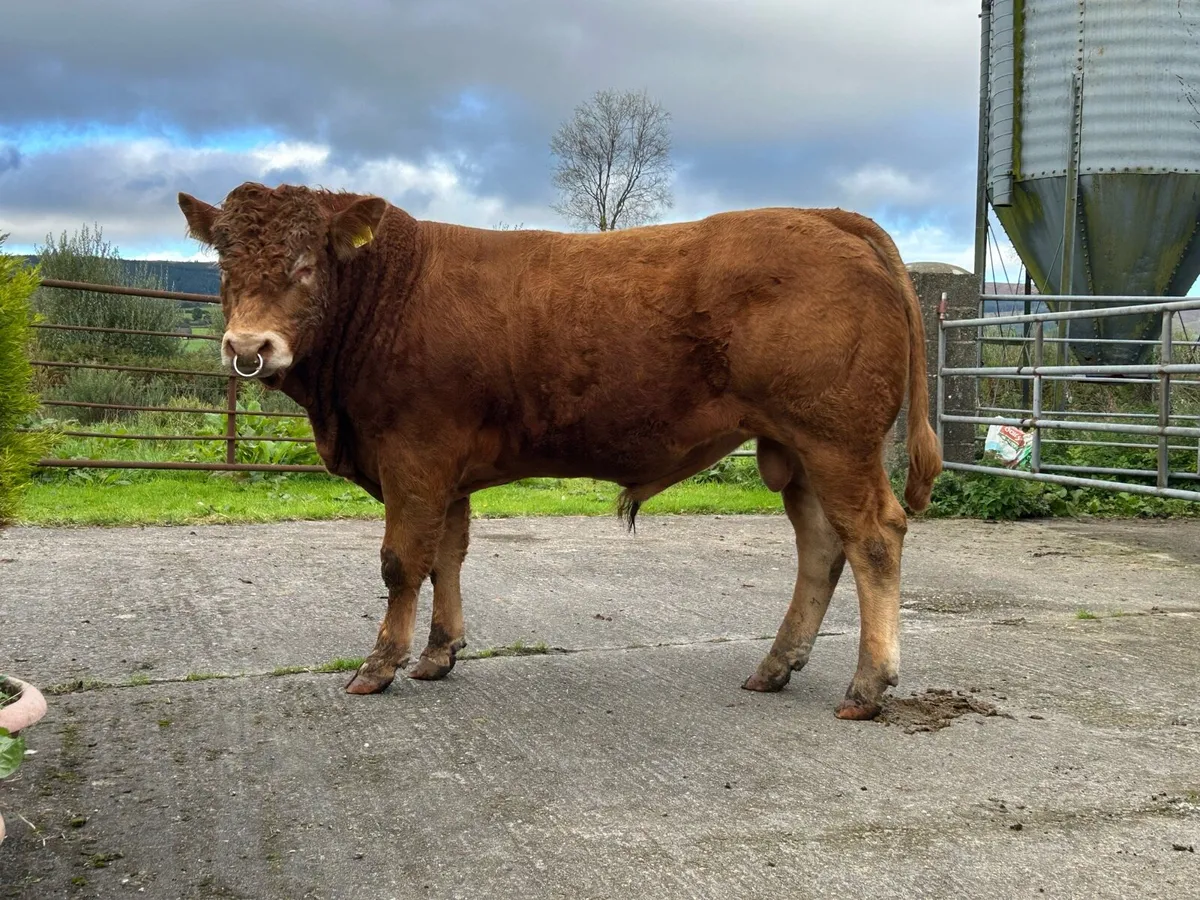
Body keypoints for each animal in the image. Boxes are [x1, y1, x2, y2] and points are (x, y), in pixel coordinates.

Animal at [177, 182, 942, 720]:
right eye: (222, 263)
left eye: (306, 264)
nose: (248, 346)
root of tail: (827, 216)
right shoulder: (448, 472)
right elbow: (446, 558)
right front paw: (439, 653)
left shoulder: (414, 457)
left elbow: (401, 563)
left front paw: (380, 664)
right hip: (797, 448)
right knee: (821, 546)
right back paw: (776, 666)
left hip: (836, 439)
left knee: (874, 537)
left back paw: (868, 685)